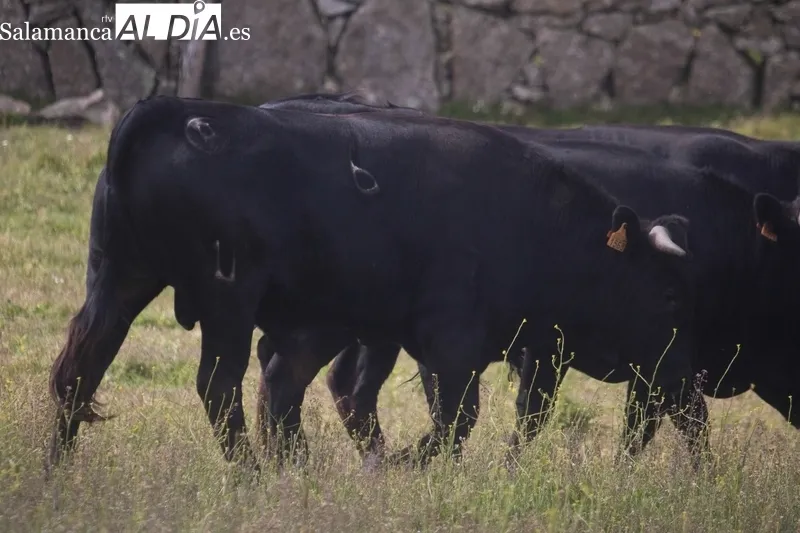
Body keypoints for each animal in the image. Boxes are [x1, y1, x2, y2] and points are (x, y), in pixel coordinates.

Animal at [47, 95, 698, 474]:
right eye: (667, 295)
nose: (680, 367)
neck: (530, 221)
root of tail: (179, 112)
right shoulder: (452, 338)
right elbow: (457, 416)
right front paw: (405, 464)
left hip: (117, 278)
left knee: (82, 368)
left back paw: (60, 468)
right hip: (226, 296)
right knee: (218, 384)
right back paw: (250, 474)